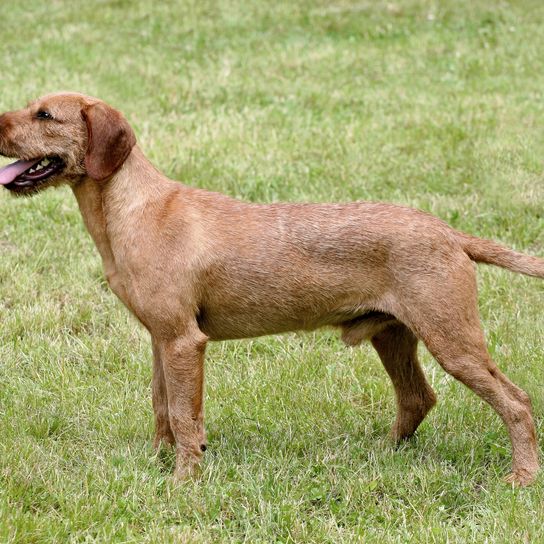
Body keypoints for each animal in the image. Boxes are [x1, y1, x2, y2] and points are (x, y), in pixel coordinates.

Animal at [1, 92, 544, 484]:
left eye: (44, 114)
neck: (132, 209)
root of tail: (451, 233)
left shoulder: (183, 342)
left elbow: (184, 416)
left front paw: (183, 482)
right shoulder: (160, 338)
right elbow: (160, 408)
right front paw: (156, 465)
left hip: (453, 340)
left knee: (515, 401)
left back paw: (521, 476)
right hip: (393, 335)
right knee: (417, 398)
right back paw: (381, 455)